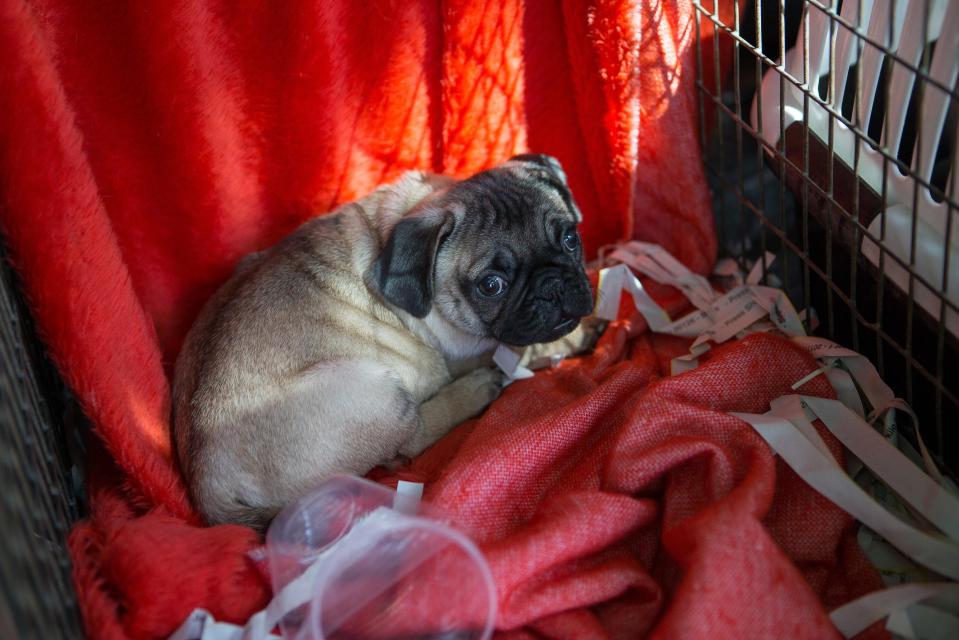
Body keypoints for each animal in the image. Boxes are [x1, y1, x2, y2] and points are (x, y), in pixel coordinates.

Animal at [172, 155, 592, 528]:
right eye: (491, 285)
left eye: (572, 238)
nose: (553, 285)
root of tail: (208, 488)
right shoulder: (469, 346)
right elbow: (520, 346)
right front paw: (569, 341)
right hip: (374, 389)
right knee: (410, 441)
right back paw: (475, 392)